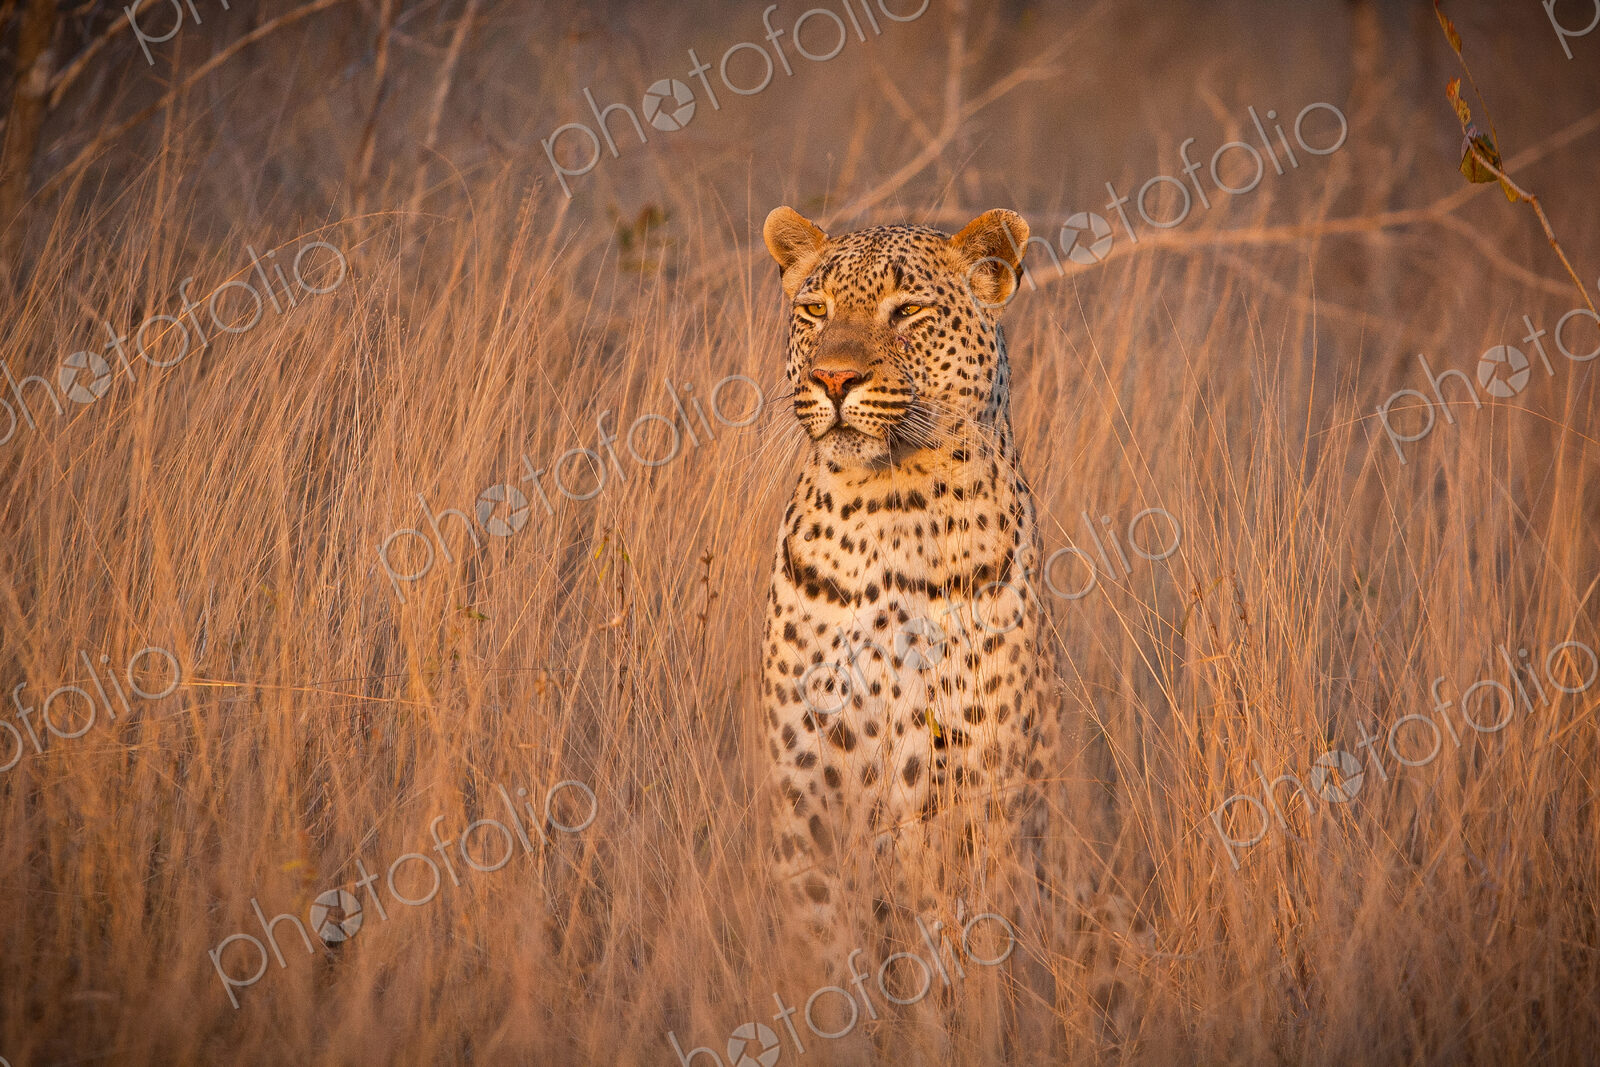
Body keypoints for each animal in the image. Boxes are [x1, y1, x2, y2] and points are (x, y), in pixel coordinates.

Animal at [755, 206, 1148, 1059]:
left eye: (907, 312)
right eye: (814, 310)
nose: (833, 380)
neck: (885, 511)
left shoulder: (977, 798)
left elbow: (965, 970)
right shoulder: (808, 797)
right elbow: (826, 967)